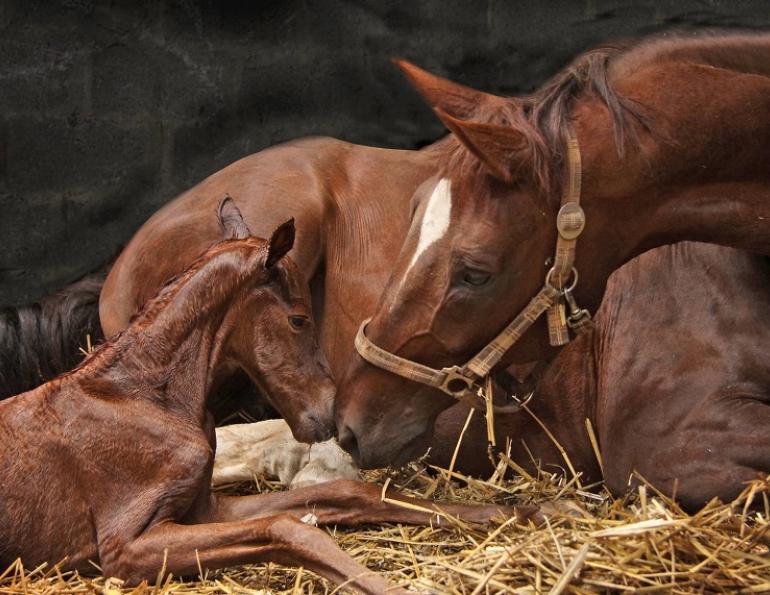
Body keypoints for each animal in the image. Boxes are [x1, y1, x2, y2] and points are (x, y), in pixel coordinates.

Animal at [0, 198, 534, 593]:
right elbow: (288, 528)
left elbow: (347, 494)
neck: (143, 396)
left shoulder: (203, 511)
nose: (330, 414)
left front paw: (524, 511)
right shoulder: (125, 547)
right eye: (298, 318)